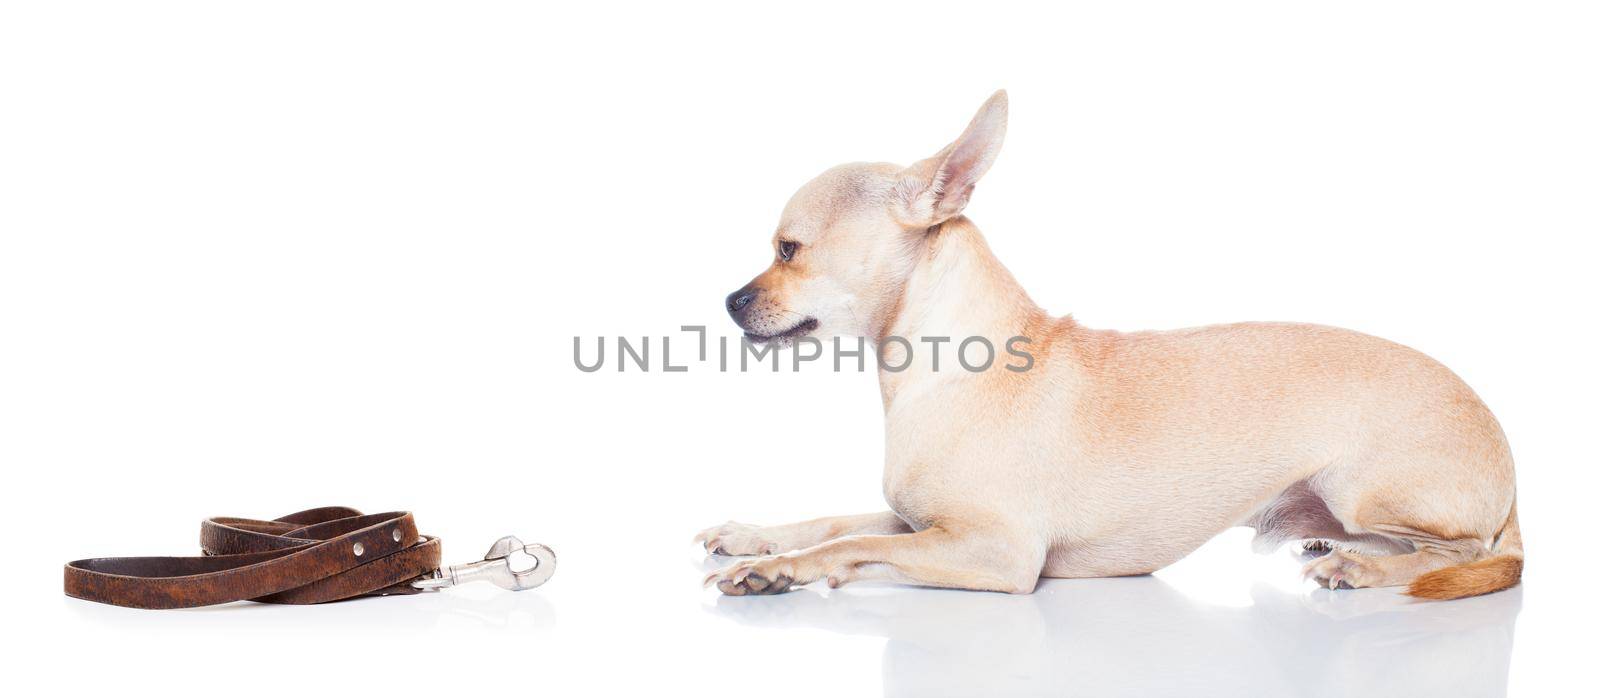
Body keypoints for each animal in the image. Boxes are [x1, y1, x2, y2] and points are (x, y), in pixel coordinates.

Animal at [700, 88, 1523, 598]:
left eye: (787, 250)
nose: (730, 301)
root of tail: (1509, 465)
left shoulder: (995, 551)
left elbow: (854, 547)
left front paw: (793, 570)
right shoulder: (921, 525)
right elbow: (837, 523)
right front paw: (757, 541)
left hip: (1365, 489)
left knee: (1462, 554)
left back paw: (1359, 570)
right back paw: (1334, 550)